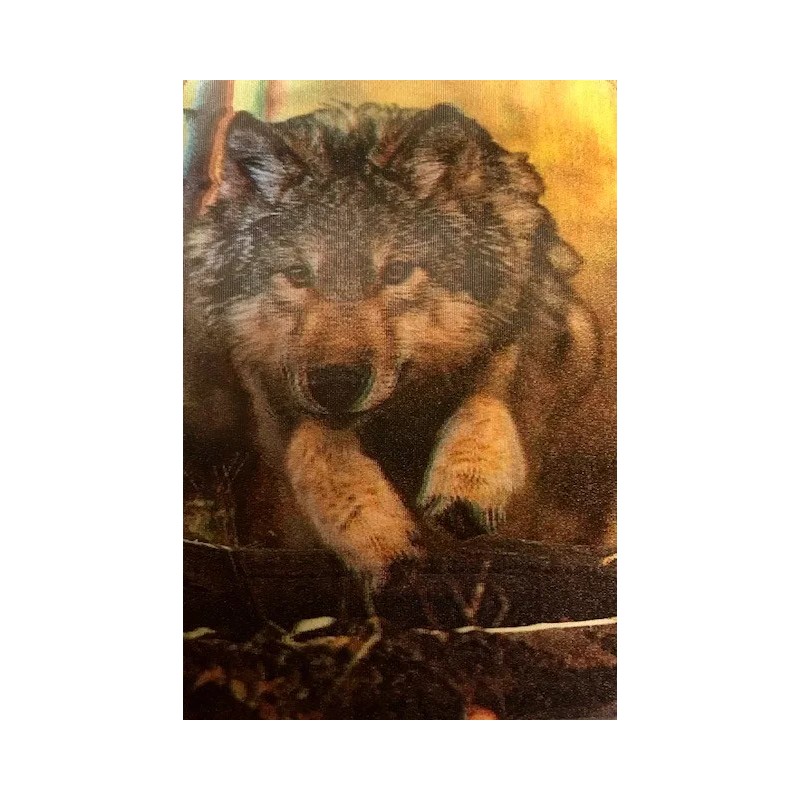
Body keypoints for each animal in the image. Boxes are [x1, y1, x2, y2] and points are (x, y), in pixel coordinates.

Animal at [184, 102, 615, 582]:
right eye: (297, 275)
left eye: (396, 272)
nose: (337, 384)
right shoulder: (270, 385)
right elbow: (315, 443)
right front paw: (372, 531)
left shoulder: (545, 323)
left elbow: (492, 391)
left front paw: (468, 483)